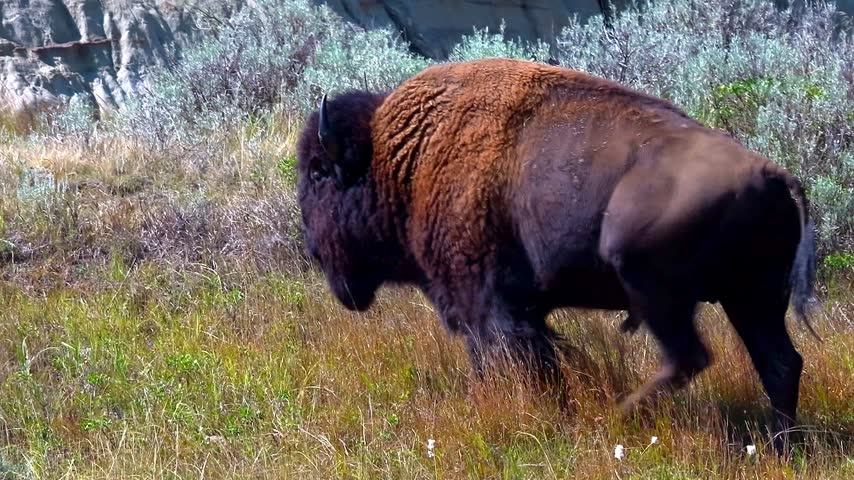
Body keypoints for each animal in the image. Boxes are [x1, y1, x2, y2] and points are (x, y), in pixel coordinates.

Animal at [295, 58, 817, 451]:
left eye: (319, 172)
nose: (314, 251)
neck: (404, 158)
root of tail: (775, 175)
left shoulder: (486, 302)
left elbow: (508, 358)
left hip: (655, 287)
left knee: (689, 356)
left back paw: (620, 414)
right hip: (751, 298)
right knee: (779, 363)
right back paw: (780, 447)